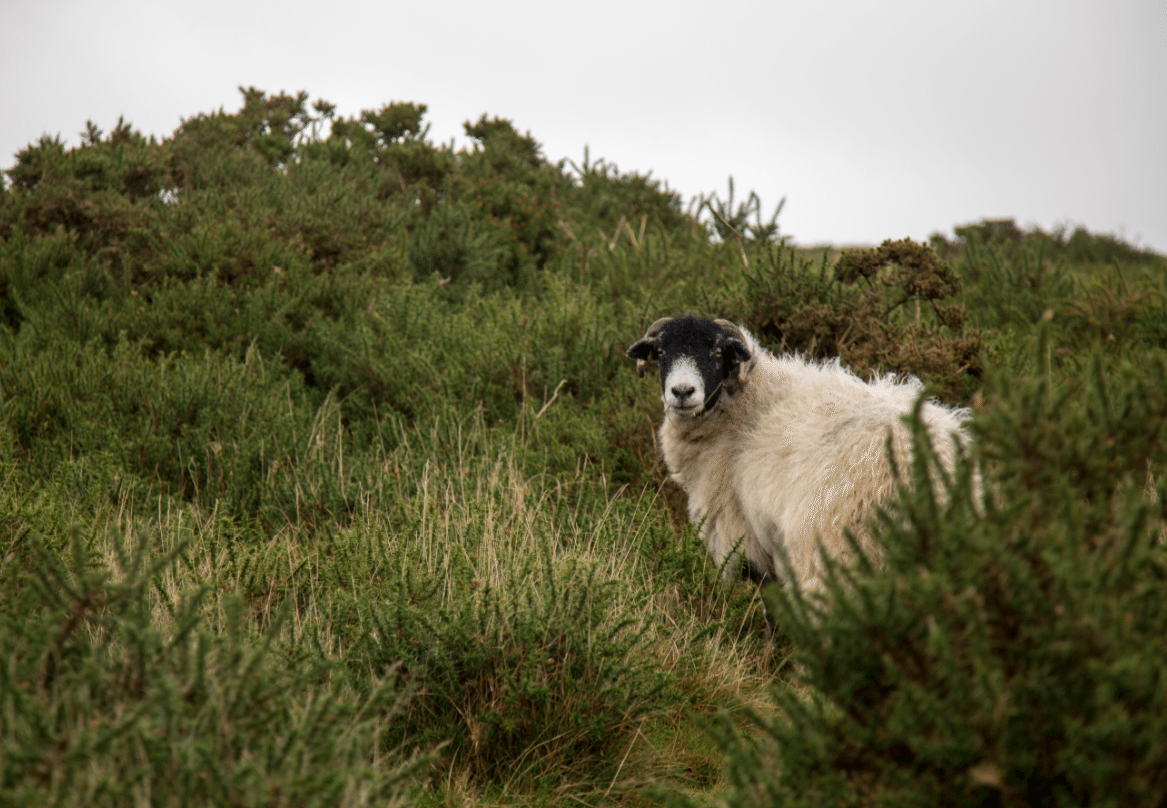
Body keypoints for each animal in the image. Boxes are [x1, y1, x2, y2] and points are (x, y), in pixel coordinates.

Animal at [625, 315, 970, 593]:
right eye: (661, 353)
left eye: (718, 352)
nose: (682, 392)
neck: (746, 406)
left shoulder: (739, 537)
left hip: (832, 554)